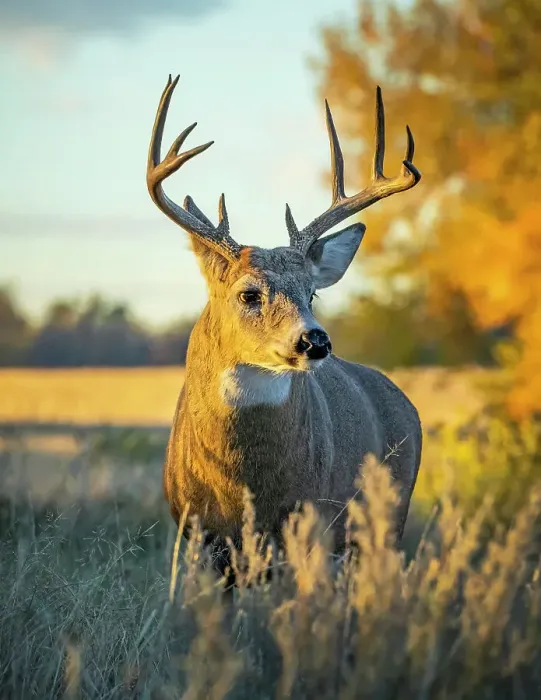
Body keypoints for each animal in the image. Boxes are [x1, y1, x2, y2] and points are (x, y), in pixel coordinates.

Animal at [147, 75, 423, 576]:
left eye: (311, 293)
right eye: (248, 294)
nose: (315, 340)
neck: (242, 484)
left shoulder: (309, 520)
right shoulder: (195, 532)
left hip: (385, 518)